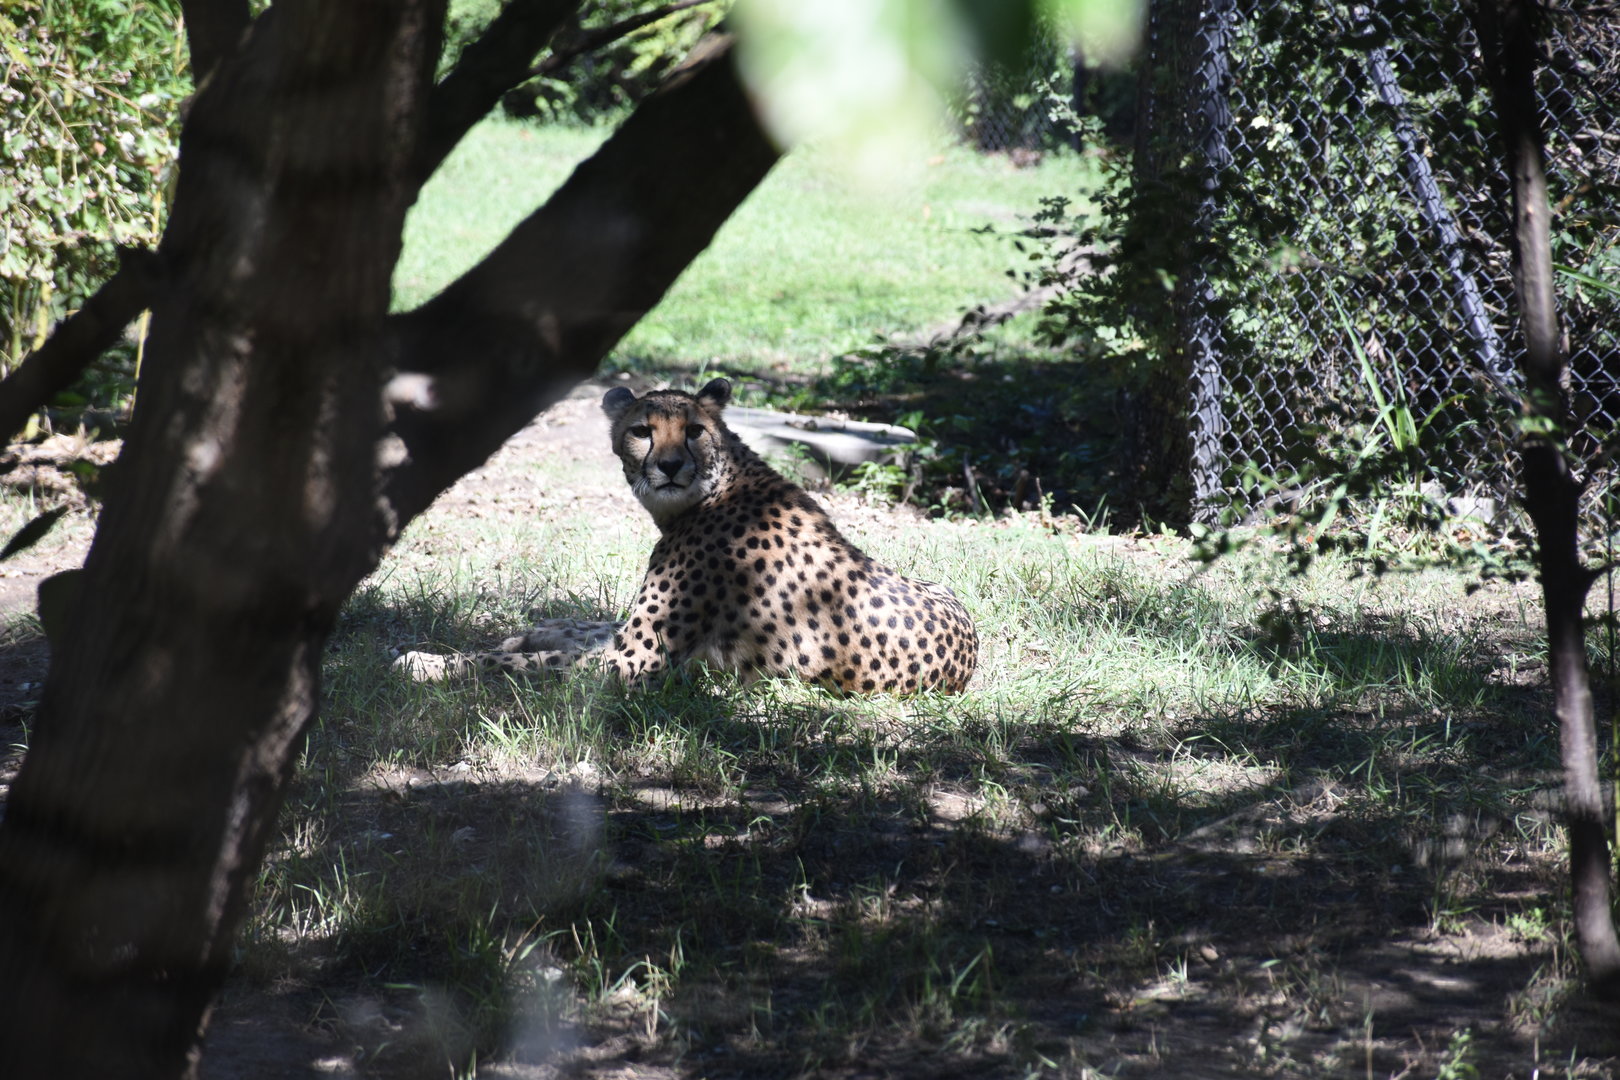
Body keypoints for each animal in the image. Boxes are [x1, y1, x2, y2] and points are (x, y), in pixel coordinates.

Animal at [393, 378, 977, 694]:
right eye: (641, 431)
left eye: (694, 430)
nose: (671, 465)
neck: (714, 491)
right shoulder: (628, 643)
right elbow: (577, 632)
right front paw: (532, 630)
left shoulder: (635, 663)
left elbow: (514, 664)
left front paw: (430, 663)